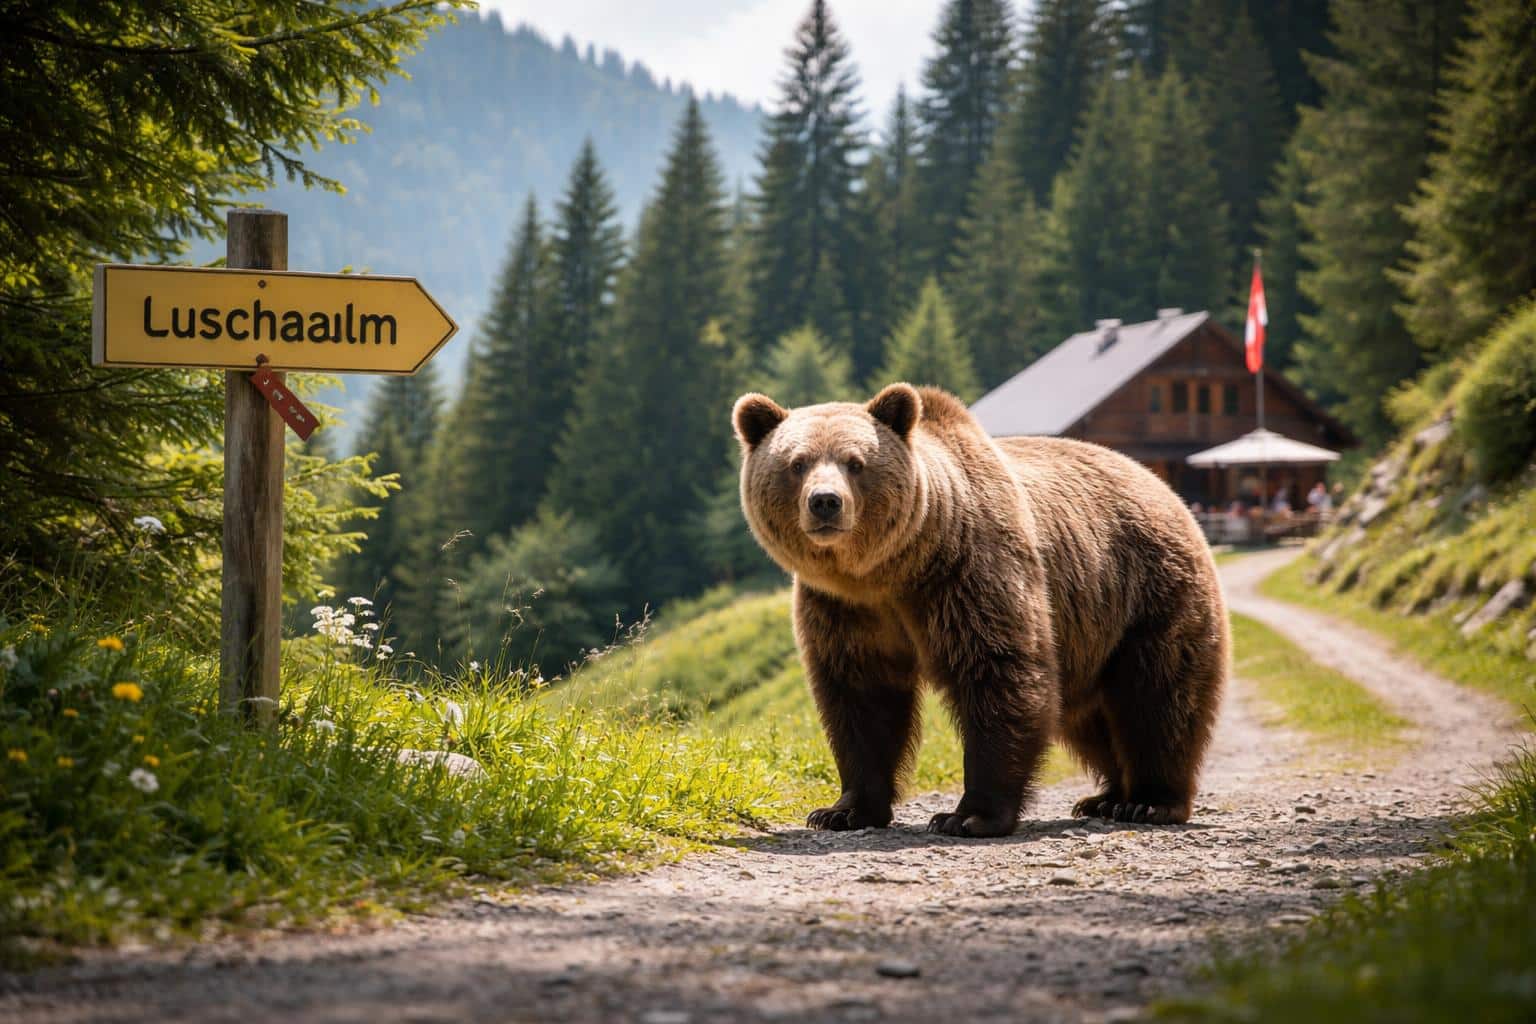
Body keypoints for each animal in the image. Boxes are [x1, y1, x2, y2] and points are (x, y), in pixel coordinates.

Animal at [732, 382, 1228, 837]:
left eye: (856, 462)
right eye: (796, 463)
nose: (825, 502)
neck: (890, 572)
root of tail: (1162, 486)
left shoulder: (966, 577)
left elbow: (998, 672)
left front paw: (967, 815)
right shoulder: (847, 610)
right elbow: (861, 698)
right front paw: (843, 811)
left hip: (1147, 593)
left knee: (1157, 697)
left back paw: (1148, 801)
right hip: (1091, 632)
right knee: (1089, 717)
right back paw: (1104, 798)